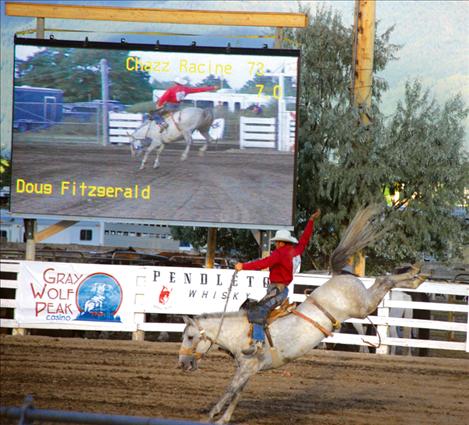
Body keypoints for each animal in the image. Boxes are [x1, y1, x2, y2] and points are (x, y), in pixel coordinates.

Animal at [176, 204, 428, 422]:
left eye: (190, 336)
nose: (182, 364)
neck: (238, 332)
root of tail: (339, 275)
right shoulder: (249, 370)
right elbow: (238, 393)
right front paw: (223, 418)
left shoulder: (248, 366)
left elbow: (230, 390)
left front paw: (211, 413)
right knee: (381, 282)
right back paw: (415, 274)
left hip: (362, 306)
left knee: (383, 281)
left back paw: (414, 275)